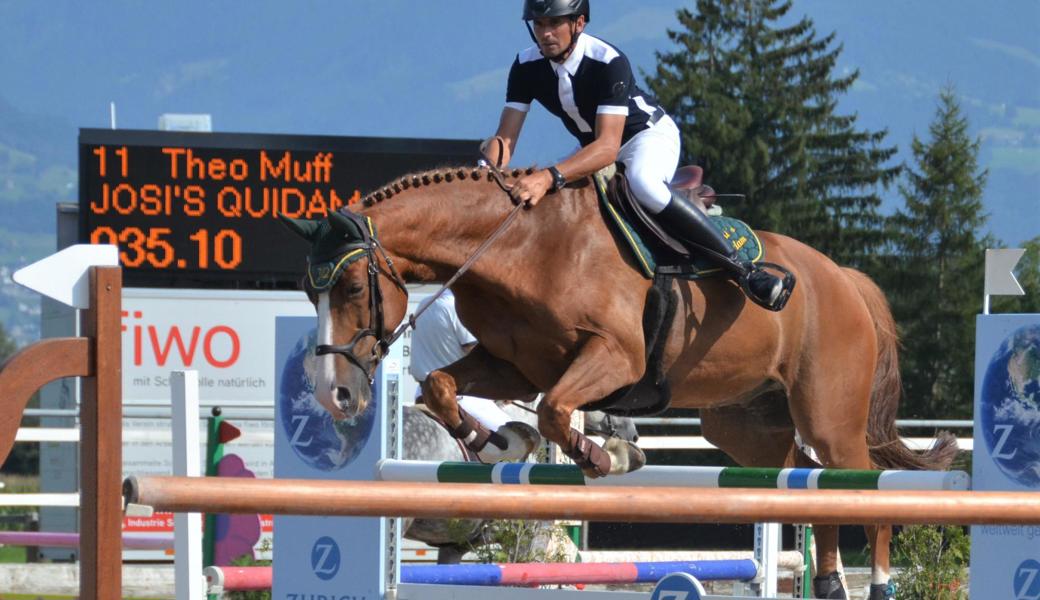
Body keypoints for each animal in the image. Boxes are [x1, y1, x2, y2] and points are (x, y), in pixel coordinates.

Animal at [282, 167, 956, 598]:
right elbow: (445, 389)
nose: (337, 394)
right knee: (806, 480)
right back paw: (830, 583)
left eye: (350, 287)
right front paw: (499, 444)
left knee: (863, 490)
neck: (519, 249)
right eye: (308, 293)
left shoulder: (614, 358)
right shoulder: (513, 363)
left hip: (829, 416)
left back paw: (878, 586)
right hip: (741, 425)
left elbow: (555, 411)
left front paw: (608, 455)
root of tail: (843, 277)